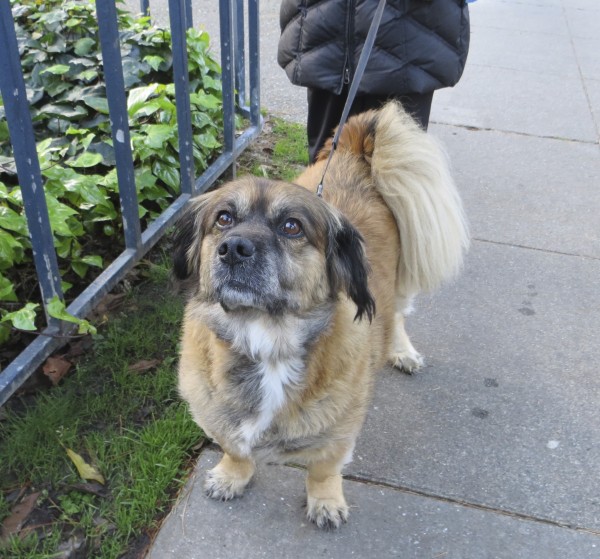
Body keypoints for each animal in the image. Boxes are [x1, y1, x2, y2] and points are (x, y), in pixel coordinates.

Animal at [173, 101, 468, 528]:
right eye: (224, 218)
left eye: (291, 226)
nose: (234, 249)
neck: (267, 338)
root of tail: (354, 153)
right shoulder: (217, 413)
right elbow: (236, 448)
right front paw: (232, 475)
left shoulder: (340, 430)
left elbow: (323, 469)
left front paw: (325, 500)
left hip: (399, 283)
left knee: (397, 315)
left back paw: (401, 351)